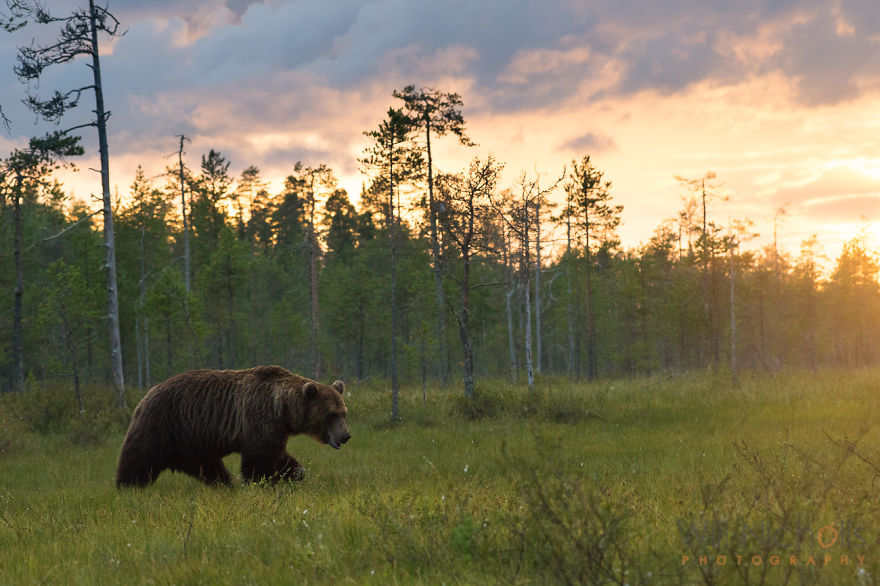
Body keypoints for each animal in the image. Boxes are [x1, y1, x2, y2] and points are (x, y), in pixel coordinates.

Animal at [115, 365, 350, 487]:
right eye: (331, 414)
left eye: (344, 413)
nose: (346, 436)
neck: (283, 408)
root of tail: (145, 396)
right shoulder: (259, 418)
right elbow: (259, 460)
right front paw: (263, 481)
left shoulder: (275, 429)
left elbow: (278, 455)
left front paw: (294, 472)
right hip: (163, 424)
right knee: (139, 456)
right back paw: (127, 486)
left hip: (192, 440)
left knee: (207, 466)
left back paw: (224, 483)